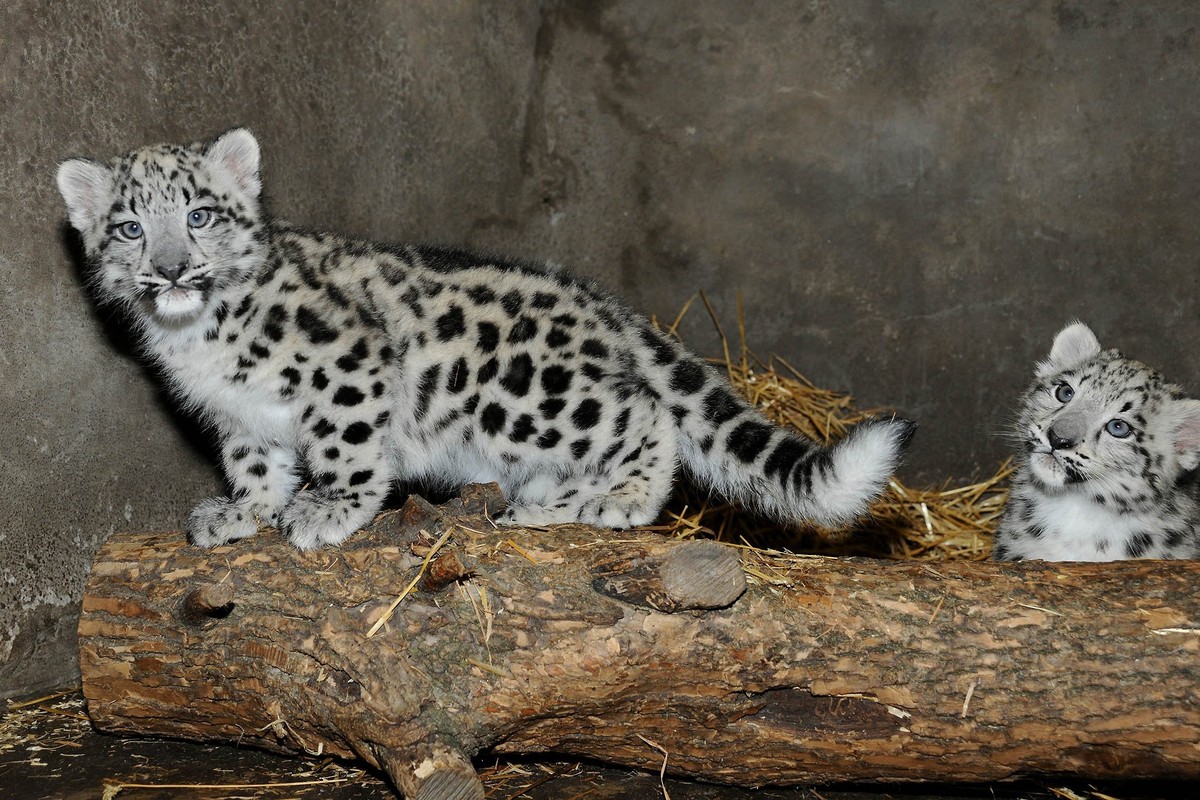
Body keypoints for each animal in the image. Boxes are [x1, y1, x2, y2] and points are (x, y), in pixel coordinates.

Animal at [56, 128, 916, 550]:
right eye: (131, 227)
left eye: (199, 214)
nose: (171, 269)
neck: (192, 340)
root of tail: (604, 304)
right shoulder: (237, 417)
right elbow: (255, 463)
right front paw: (241, 513)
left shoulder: (343, 363)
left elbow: (343, 443)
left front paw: (331, 508)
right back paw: (545, 500)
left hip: (518, 396)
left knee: (644, 413)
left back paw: (615, 500)